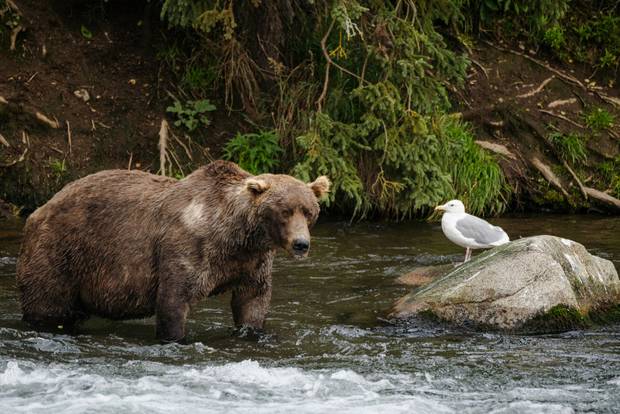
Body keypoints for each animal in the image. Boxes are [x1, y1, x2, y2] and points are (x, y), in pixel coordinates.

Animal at [17, 160, 330, 342]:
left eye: (308, 211)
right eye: (285, 211)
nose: (301, 244)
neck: (234, 235)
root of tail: (38, 210)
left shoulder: (252, 261)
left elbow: (252, 300)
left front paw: (251, 331)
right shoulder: (187, 248)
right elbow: (173, 300)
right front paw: (175, 338)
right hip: (61, 252)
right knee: (48, 305)